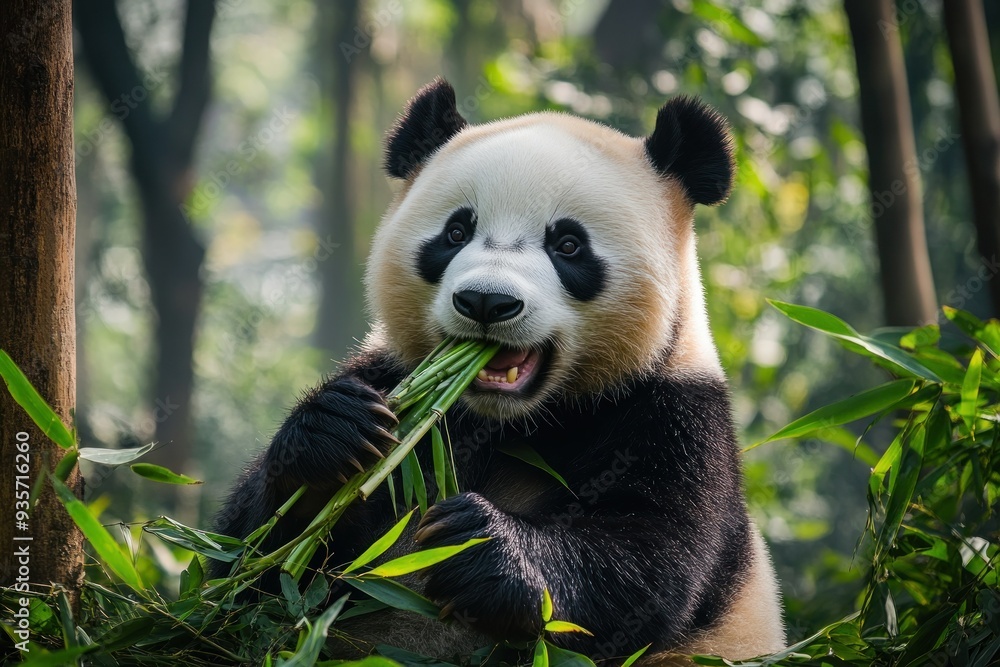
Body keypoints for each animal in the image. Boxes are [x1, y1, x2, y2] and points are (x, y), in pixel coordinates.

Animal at [214, 78, 785, 664]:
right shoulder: (394, 377)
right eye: (455, 232)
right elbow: (255, 567)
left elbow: (647, 563)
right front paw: (335, 435)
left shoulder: (672, 414)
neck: (512, 420)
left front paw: (480, 543)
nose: (487, 301)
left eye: (567, 244)